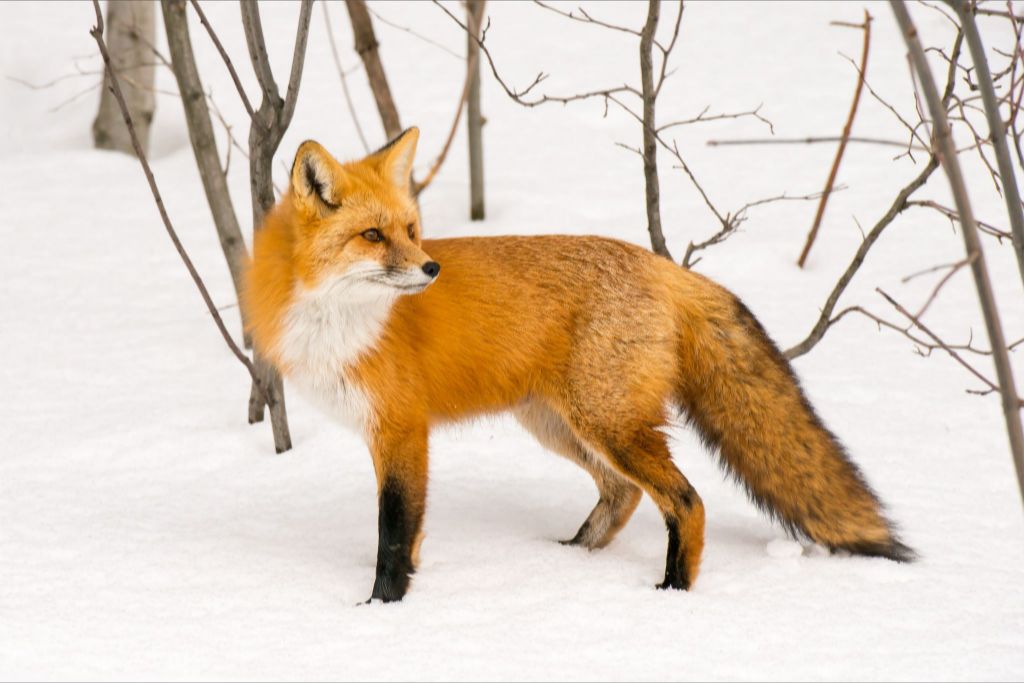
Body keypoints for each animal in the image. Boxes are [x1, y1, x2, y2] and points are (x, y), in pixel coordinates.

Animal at [242, 127, 913, 603]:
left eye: (411, 230)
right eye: (373, 236)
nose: (431, 268)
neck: (338, 322)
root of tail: (664, 266)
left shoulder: (403, 427)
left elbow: (393, 533)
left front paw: (380, 608)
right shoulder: (389, 432)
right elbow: (406, 536)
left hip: (606, 423)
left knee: (685, 500)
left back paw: (673, 593)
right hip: (559, 425)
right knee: (622, 494)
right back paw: (568, 559)